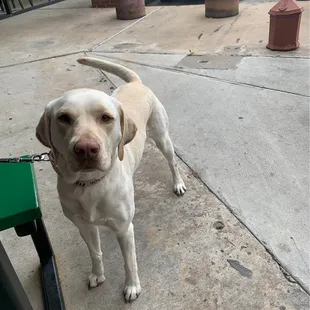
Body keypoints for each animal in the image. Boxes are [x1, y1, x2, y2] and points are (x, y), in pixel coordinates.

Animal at [36, 57, 186, 302]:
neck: (89, 184)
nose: (86, 149)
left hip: (162, 138)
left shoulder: (124, 230)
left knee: (172, 162)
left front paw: (132, 286)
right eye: (64, 118)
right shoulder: (83, 226)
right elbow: (95, 252)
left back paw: (178, 183)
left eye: (106, 118)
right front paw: (97, 274)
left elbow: (129, 262)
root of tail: (135, 83)